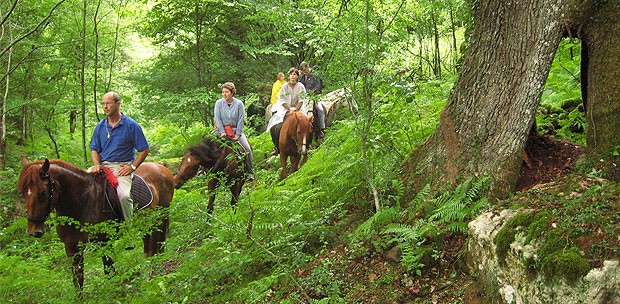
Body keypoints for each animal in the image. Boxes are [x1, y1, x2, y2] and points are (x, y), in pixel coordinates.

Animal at [18, 157, 173, 288]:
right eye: (24, 192)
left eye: (43, 192)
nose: (33, 230)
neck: (81, 202)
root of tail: (163, 168)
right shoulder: (72, 247)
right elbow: (78, 280)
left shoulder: (104, 243)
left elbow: (109, 272)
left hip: (157, 220)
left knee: (153, 246)